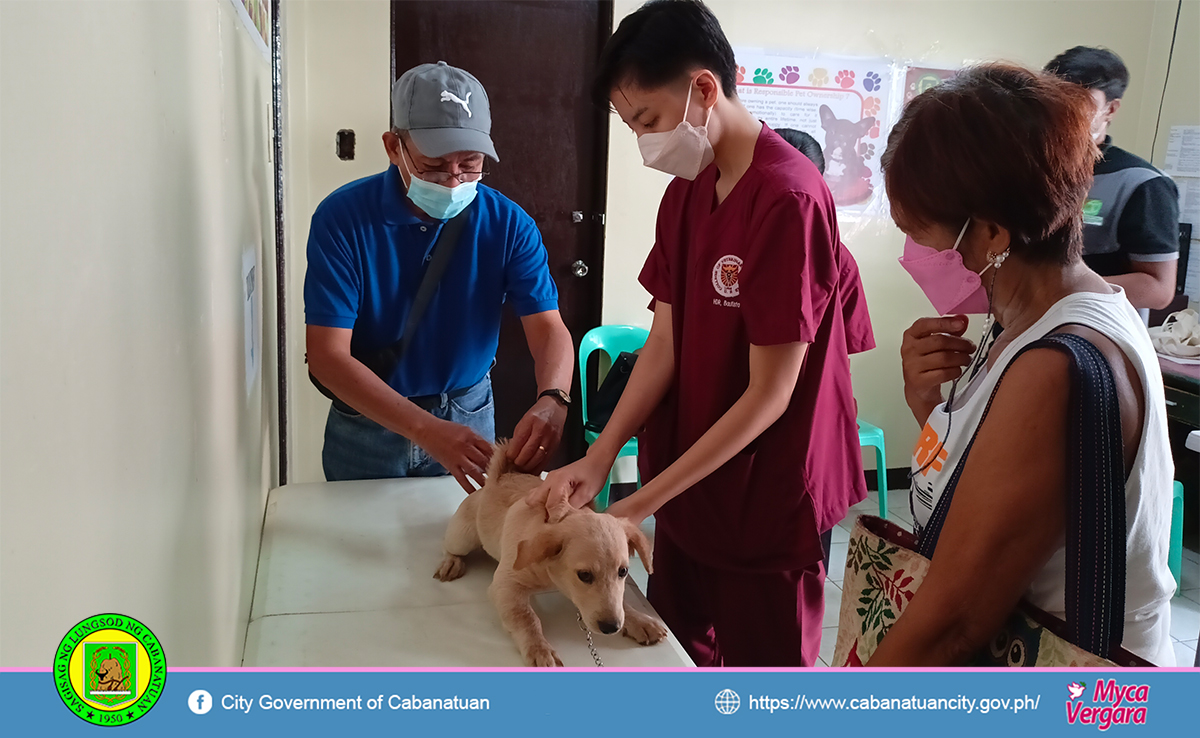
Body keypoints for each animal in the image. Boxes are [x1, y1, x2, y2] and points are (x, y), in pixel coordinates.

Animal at [436, 444, 672, 672]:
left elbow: (621, 601)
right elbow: (526, 617)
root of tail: (498, 478)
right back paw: (451, 562)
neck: (551, 574)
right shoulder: (505, 585)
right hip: (462, 536)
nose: (611, 627)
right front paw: (540, 649)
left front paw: (640, 621)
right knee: (451, 546)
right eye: (584, 575)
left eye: (623, 571)